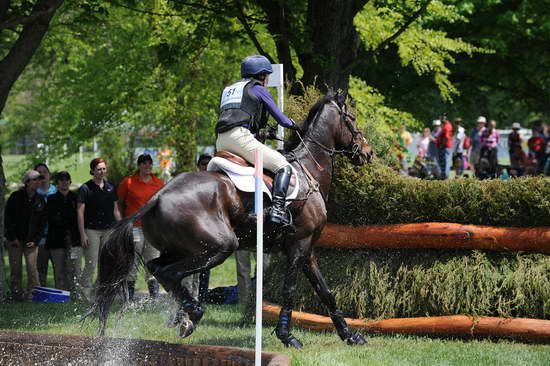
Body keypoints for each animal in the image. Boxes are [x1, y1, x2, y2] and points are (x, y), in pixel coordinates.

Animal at [89, 91, 376, 348]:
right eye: (352, 118)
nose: (368, 152)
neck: (309, 170)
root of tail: (157, 197)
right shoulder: (298, 246)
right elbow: (290, 290)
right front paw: (287, 336)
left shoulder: (307, 250)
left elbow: (326, 292)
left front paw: (350, 335)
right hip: (220, 246)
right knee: (169, 273)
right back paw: (193, 314)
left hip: (180, 248)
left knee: (157, 268)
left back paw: (188, 314)